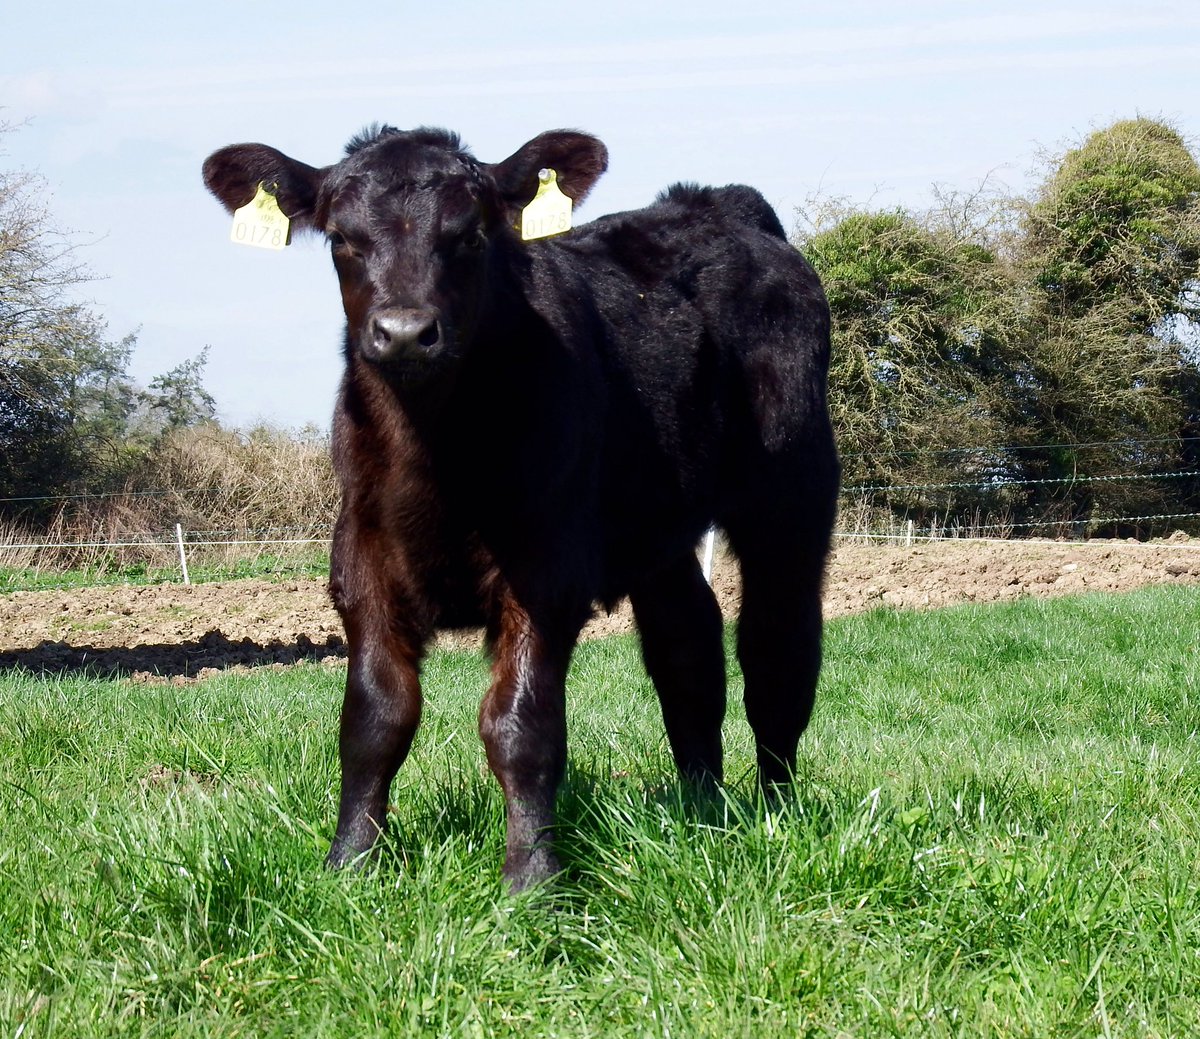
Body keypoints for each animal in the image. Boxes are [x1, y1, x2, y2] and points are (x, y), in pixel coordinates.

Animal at [202, 125, 839, 891]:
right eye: (340, 238)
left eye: (472, 234)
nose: (405, 331)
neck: (438, 456)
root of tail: (718, 204)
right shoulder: (360, 557)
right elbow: (374, 719)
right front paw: (350, 864)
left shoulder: (546, 565)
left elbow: (521, 724)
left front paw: (534, 877)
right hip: (654, 527)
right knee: (688, 644)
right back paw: (701, 804)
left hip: (792, 486)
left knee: (778, 645)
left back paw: (774, 809)